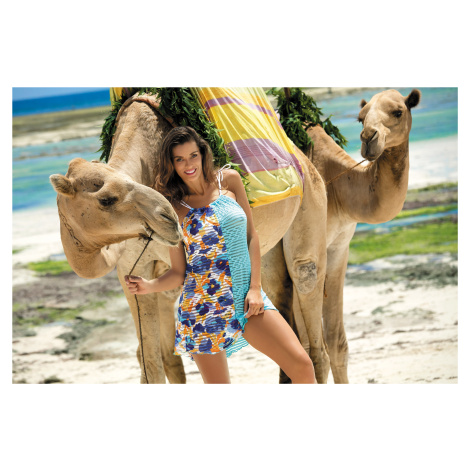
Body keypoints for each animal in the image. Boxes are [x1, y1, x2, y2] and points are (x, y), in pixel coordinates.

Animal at [261, 88, 422, 383]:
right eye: (360, 117)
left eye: (398, 112)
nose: (368, 137)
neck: (339, 189)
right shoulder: (305, 250)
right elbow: (309, 346)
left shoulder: (338, 248)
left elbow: (337, 343)